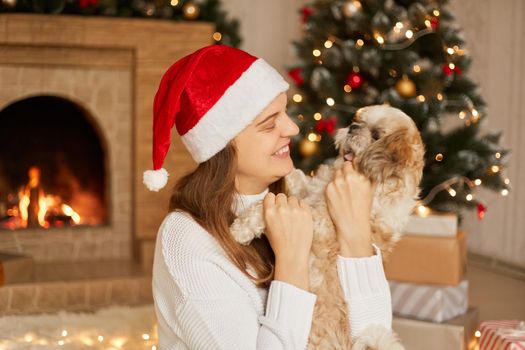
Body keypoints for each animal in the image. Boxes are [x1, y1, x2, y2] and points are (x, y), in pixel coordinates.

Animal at [231, 105, 424, 348]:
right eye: (358, 120)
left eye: (376, 135)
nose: (353, 127)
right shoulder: (309, 191)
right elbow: (297, 178)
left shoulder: (317, 223)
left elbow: (262, 207)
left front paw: (240, 229)